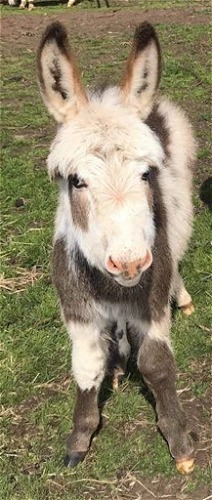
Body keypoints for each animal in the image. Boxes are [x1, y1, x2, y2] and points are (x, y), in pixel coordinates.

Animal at [36, 20, 197, 472]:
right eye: (76, 181)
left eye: (146, 175)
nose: (130, 263)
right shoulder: (78, 310)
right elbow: (86, 365)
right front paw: (80, 436)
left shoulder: (151, 300)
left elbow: (157, 364)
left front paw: (179, 443)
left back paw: (183, 299)